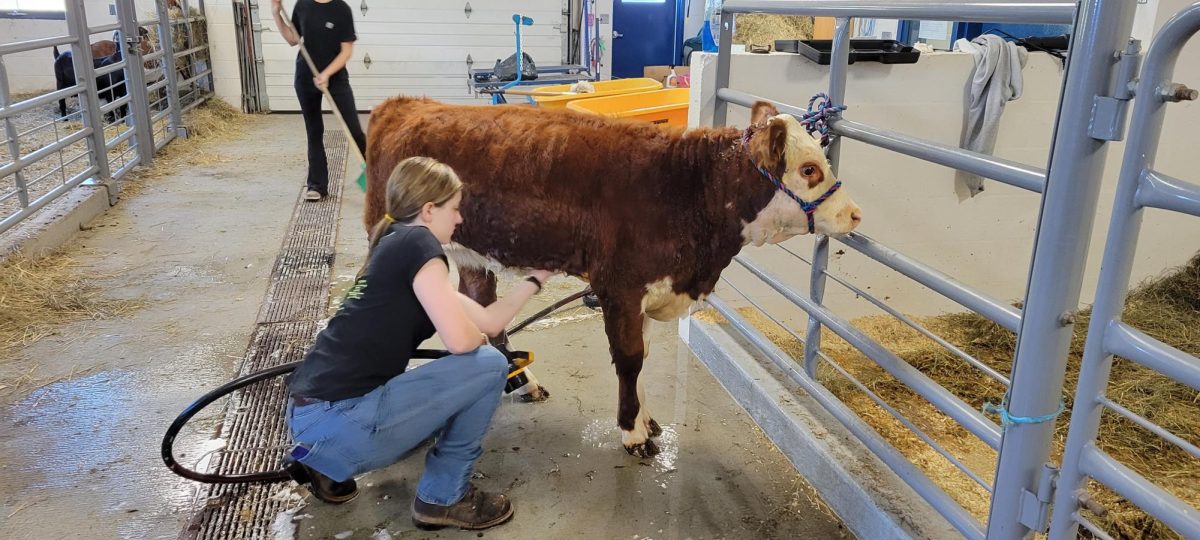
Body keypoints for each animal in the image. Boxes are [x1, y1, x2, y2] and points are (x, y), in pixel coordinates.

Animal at [364, 96, 864, 456]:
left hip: (471, 253)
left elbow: (643, 356)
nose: (855, 214)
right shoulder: (620, 286)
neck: (686, 190)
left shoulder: (648, 290)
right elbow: (630, 359)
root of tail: (406, 102)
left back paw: (520, 381)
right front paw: (632, 432)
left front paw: (646, 420)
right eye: (809, 169)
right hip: (382, 232)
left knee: (481, 303)